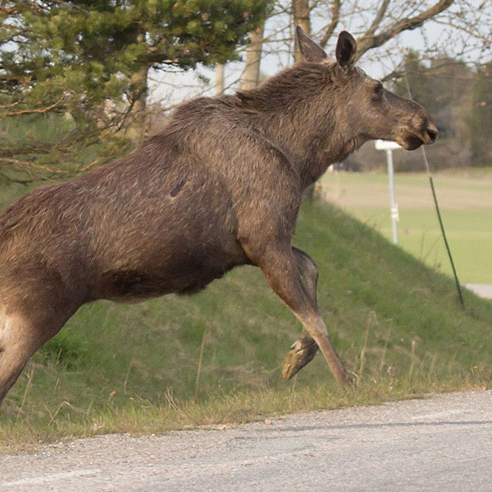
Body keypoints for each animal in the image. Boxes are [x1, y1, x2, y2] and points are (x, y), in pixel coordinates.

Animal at [0, 28, 438, 406]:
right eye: (377, 89)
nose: (428, 124)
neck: (300, 158)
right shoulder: (264, 238)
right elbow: (315, 315)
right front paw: (346, 381)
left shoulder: (255, 245)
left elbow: (313, 271)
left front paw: (296, 356)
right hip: (35, 313)